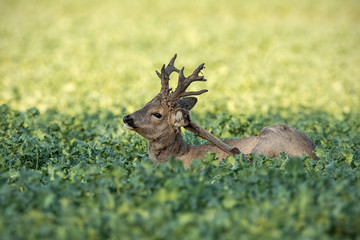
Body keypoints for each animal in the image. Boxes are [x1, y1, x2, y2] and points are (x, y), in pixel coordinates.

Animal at [124, 54, 318, 168]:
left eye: (157, 114)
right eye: (146, 103)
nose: (127, 118)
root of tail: (313, 153)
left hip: (268, 138)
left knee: (244, 156)